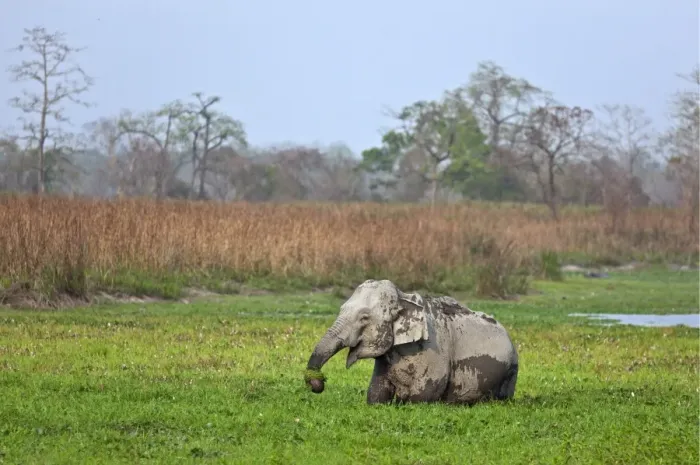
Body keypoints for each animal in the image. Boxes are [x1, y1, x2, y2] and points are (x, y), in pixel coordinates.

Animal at [304, 279, 519, 405]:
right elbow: (376, 394)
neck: (403, 297)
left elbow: (424, 395)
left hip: (510, 371)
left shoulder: (435, 350)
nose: (317, 382)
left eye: (364, 318)